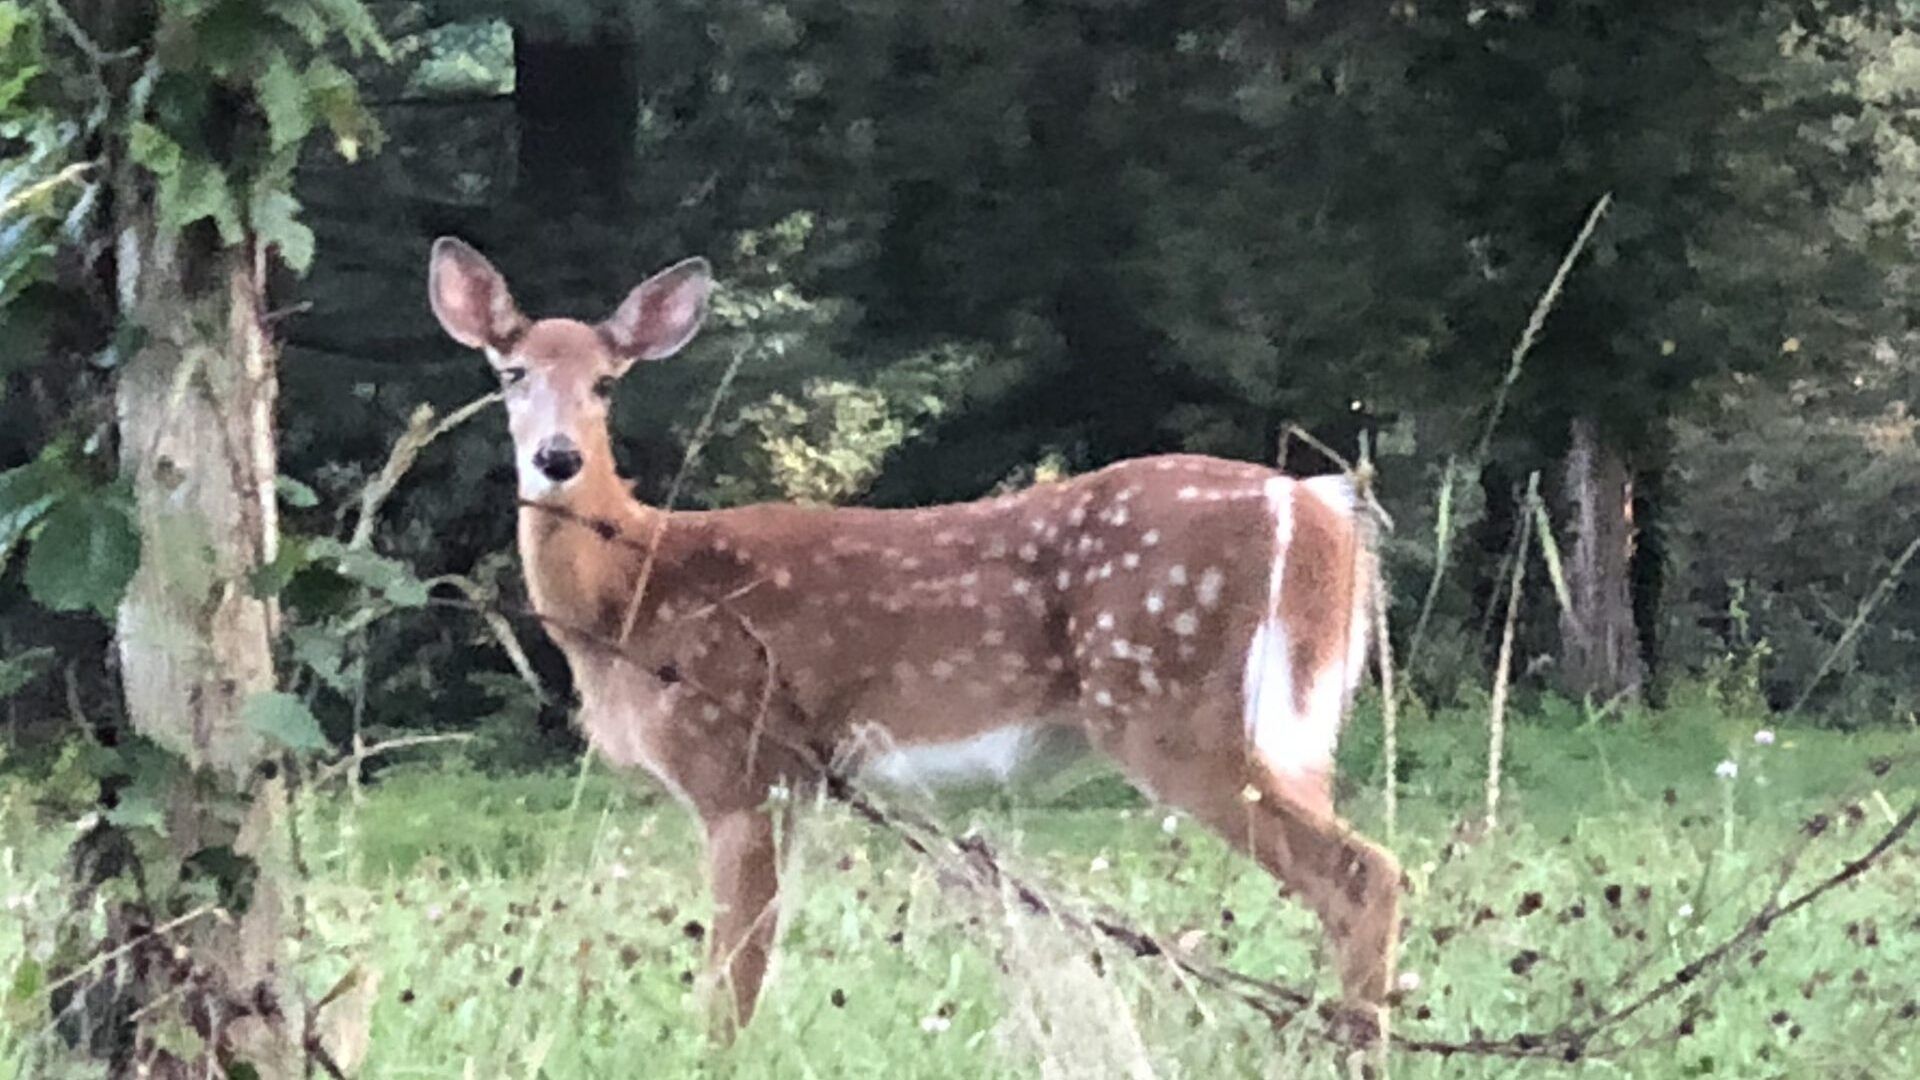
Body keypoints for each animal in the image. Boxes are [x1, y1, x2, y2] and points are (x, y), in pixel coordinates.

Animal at [426, 237, 1402, 1045]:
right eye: (511, 373)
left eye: (605, 382)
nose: (557, 458)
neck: (630, 591)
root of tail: (1319, 511)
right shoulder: (795, 781)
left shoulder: (740, 761)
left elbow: (731, 988)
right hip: (1293, 725)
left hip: (1177, 706)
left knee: (1365, 876)